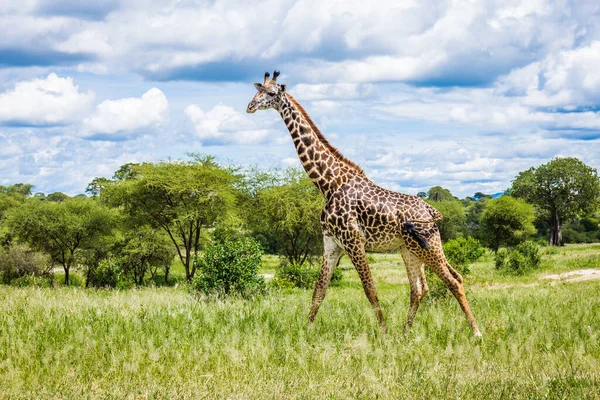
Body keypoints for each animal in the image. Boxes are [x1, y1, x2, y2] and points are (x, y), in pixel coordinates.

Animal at [246, 72, 480, 338]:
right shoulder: (331, 243)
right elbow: (319, 291)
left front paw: (384, 333)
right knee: (420, 288)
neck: (328, 183)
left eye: (271, 93)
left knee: (454, 280)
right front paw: (306, 331)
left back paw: (475, 331)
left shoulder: (354, 241)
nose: (250, 106)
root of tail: (430, 209)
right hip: (409, 249)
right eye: (257, 90)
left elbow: (370, 290)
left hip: (428, 245)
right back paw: (405, 332)